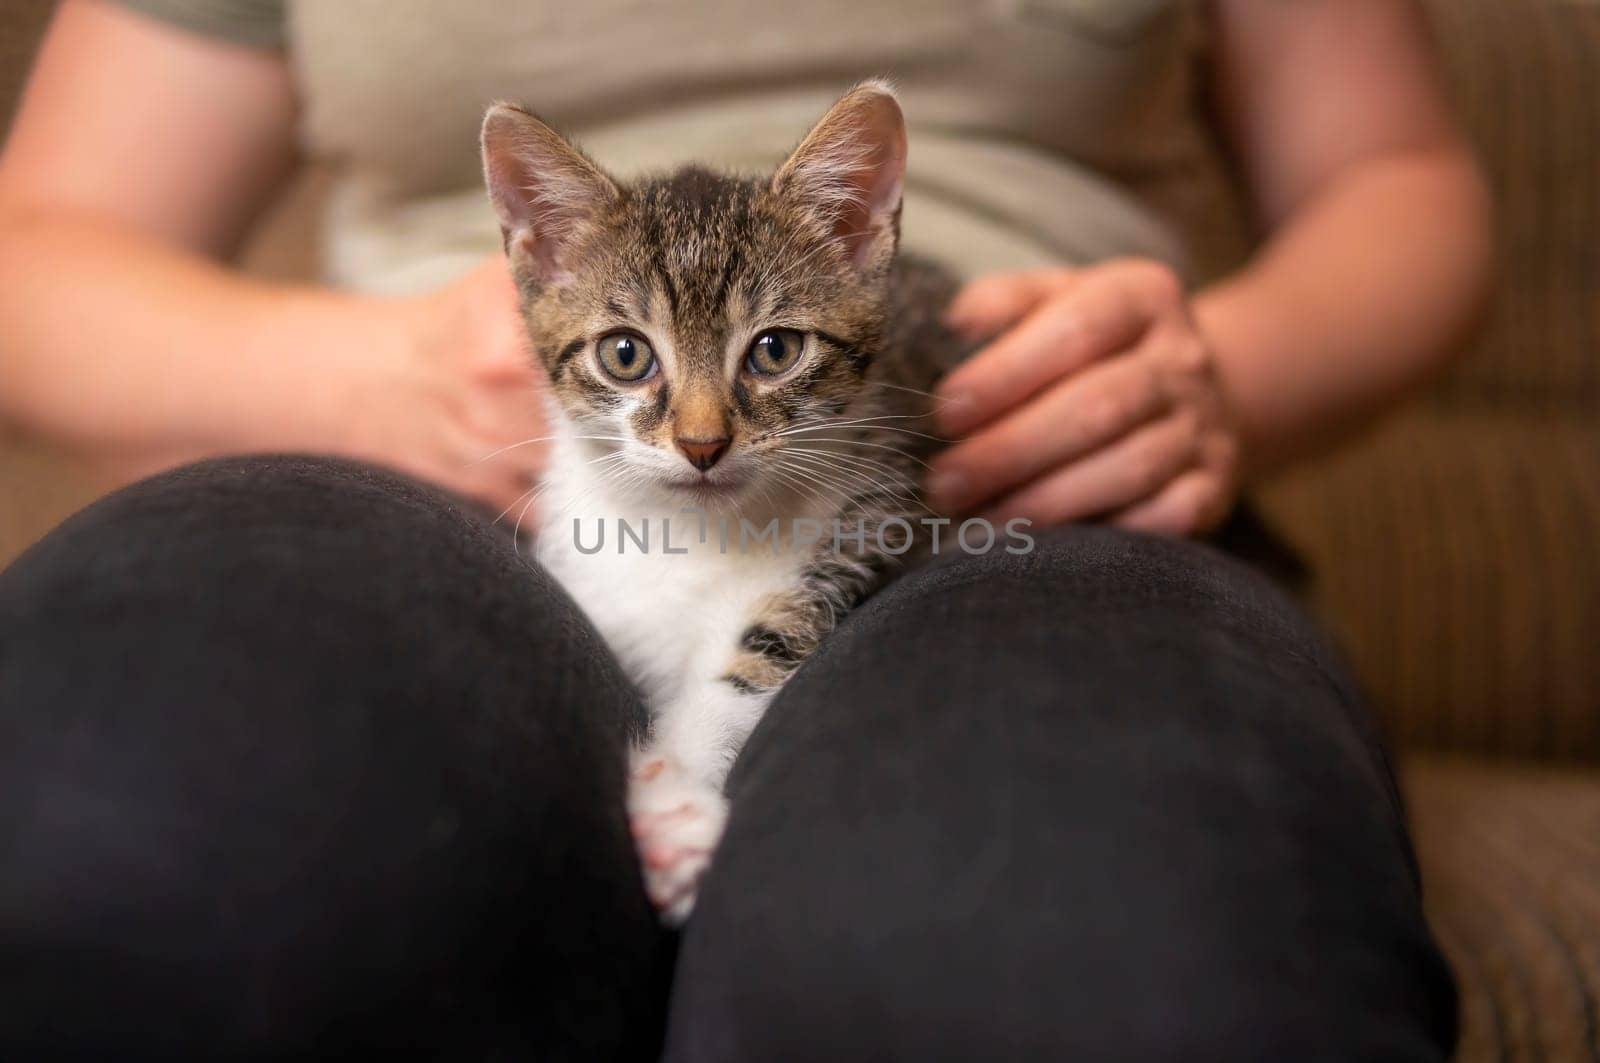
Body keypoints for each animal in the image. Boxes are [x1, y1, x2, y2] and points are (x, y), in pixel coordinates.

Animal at [480, 80, 966, 922]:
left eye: (775, 350)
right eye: (625, 353)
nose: (702, 443)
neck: (690, 532)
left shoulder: (866, 523)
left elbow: (757, 655)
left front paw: (674, 803)